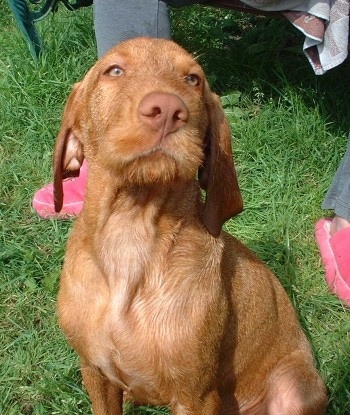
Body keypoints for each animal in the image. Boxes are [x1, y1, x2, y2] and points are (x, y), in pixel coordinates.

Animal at [55, 37, 328, 414]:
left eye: (193, 79)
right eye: (115, 70)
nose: (169, 110)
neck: (130, 235)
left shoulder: (195, 395)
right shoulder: (95, 372)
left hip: (295, 390)